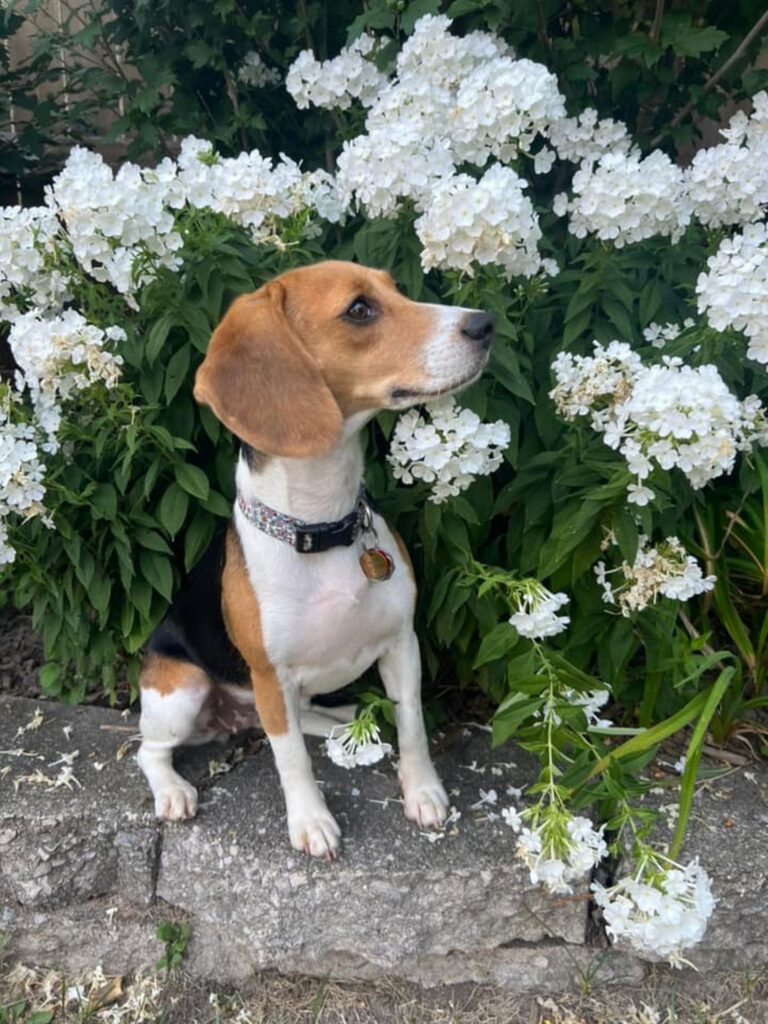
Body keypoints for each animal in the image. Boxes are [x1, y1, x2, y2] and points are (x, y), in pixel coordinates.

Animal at [138, 258, 495, 856]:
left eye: (396, 290)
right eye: (359, 309)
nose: (485, 323)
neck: (322, 525)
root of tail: (231, 717)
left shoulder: (402, 645)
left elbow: (414, 726)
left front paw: (423, 791)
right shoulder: (270, 676)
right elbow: (291, 760)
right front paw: (310, 821)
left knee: (307, 719)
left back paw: (347, 720)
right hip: (181, 691)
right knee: (150, 751)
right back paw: (172, 791)